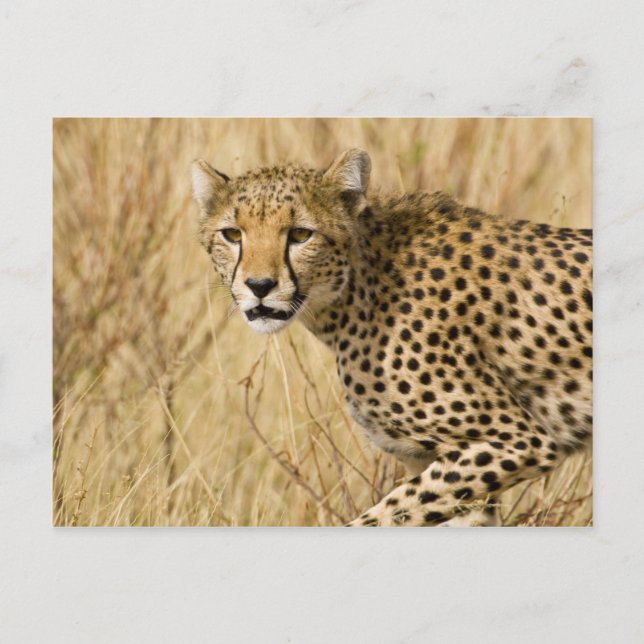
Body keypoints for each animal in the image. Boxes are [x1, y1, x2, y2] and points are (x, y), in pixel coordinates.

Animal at [191, 148, 593, 527]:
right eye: (232, 234)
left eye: (300, 234)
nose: (259, 286)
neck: (357, 289)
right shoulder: (452, 473)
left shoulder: (518, 441)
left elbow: (380, 518)